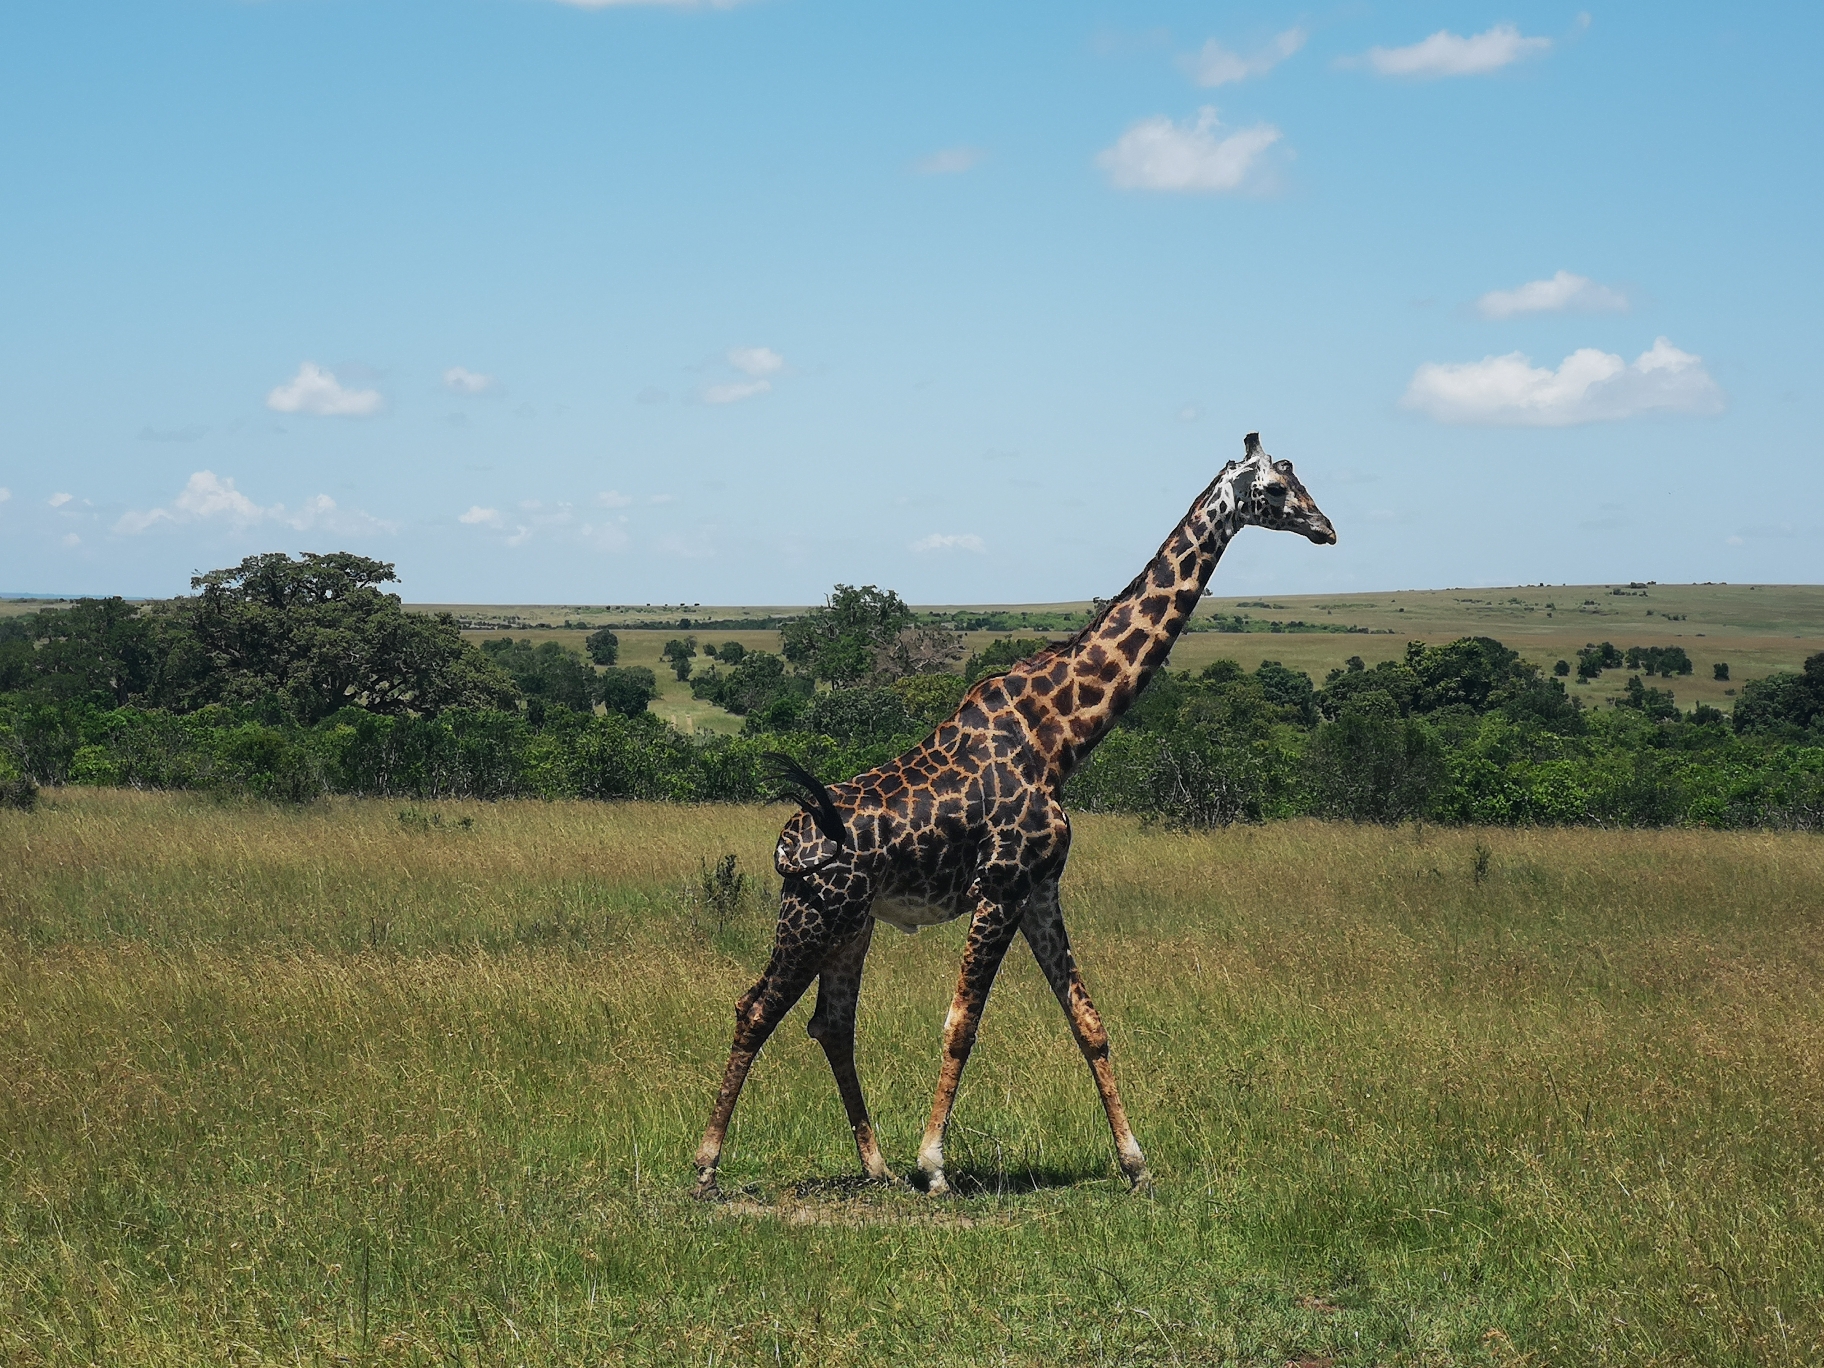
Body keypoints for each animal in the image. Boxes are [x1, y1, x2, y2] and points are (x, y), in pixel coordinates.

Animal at [689, 430, 1335, 1196]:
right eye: (1276, 487)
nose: (1326, 528)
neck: (1060, 736)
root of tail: (787, 843)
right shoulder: (998, 886)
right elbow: (961, 1024)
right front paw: (934, 1165)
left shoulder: (1040, 888)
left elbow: (1088, 1020)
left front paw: (1136, 1163)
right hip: (812, 915)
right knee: (756, 1008)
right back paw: (707, 1166)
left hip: (853, 923)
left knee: (831, 1022)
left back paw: (875, 1167)